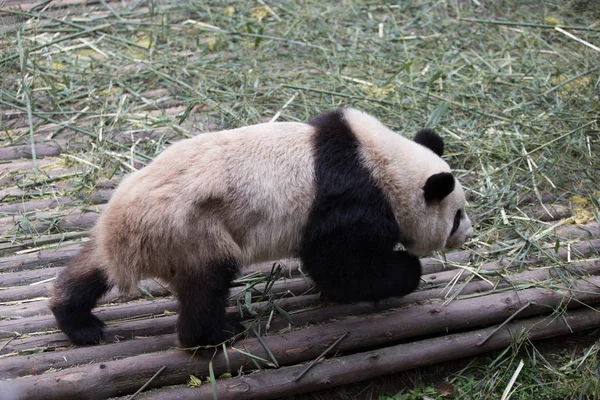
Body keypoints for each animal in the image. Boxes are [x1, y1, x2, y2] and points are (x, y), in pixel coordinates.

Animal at [50, 108, 474, 348]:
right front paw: (404, 271)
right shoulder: (351, 202)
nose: (468, 233)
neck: (382, 163)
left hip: (133, 228)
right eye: (457, 214)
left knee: (91, 267)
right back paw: (218, 333)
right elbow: (340, 265)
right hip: (189, 230)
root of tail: (121, 236)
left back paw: (78, 321)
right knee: (208, 281)